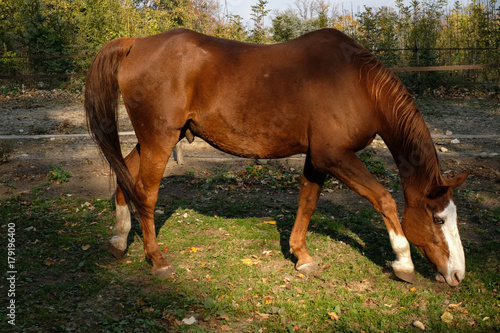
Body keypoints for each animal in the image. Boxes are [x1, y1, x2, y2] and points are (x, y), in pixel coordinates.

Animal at [86, 27, 468, 286]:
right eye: (438, 220)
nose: (457, 275)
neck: (357, 83)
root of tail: (136, 43)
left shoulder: (317, 159)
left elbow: (307, 203)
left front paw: (301, 256)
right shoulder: (334, 157)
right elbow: (384, 199)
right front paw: (403, 263)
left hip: (157, 138)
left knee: (125, 177)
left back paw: (119, 240)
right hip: (160, 139)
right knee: (146, 193)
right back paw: (157, 260)